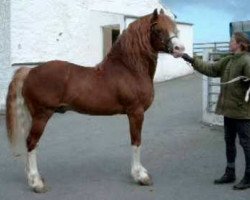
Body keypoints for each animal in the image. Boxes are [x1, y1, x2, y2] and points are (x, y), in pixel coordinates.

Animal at [5, 9, 185, 192]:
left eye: (174, 28)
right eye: (157, 29)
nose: (180, 49)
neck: (130, 69)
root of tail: (30, 71)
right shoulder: (136, 113)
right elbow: (136, 141)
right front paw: (140, 176)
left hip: (33, 116)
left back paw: (32, 177)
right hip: (42, 115)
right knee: (31, 142)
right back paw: (36, 183)